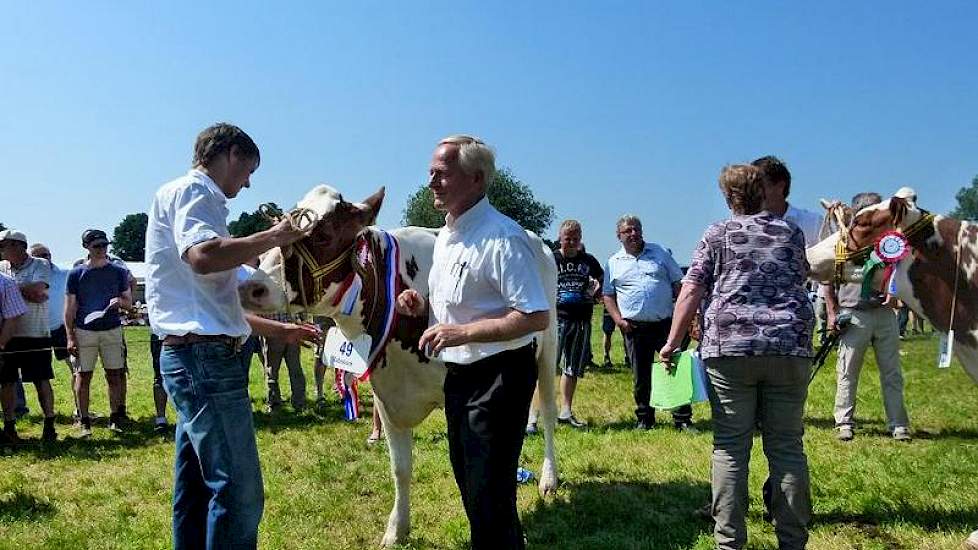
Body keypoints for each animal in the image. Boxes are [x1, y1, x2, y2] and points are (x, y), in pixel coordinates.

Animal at [237, 184, 556, 548]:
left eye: (324, 234)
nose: (250, 287)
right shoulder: (387, 395)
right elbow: (400, 468)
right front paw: (396, 529)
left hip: (549, 346)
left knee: (547, 411)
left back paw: (549, 479)